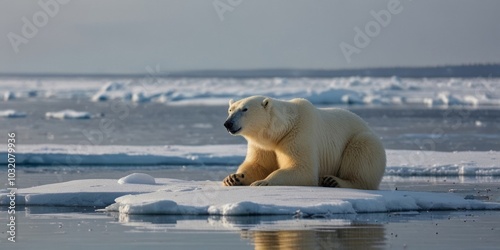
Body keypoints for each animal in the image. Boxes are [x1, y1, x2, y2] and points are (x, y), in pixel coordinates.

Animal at [223, 95, 386, 189]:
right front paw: (233, 178)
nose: (228, 123)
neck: (281, 130)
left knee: (362, 153)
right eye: (230, 110)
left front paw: (262, 182)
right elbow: (258, 164)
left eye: (244, 109)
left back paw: (334, 181)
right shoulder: (263, 145)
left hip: (361, 139)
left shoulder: (299, 134)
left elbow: (303, 168)